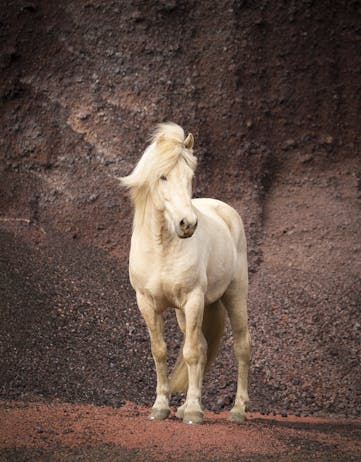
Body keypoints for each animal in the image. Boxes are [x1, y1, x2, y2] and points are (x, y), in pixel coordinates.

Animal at [121, 122, 250, 426]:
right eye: (162, 176)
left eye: (190, 176)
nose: (187, 224)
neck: (162, 249)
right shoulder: (147, 303)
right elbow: (160, 351)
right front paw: (161, 407)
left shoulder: (193, 300)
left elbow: (190, 353)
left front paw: (193, 412)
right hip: (184, 312)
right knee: (203, 346)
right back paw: (182, 408)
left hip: (234, 296)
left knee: (241, 347)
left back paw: (237, 410)